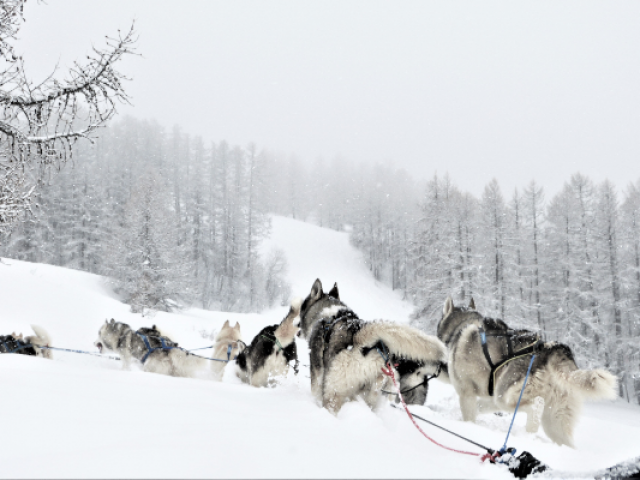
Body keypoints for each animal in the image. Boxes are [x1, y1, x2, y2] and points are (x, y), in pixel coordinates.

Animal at [438, 296, 616, 446]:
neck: (462, 327)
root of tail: (550, 349)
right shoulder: (489, 396)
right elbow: (481, 406)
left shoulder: (466, 392)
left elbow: (469, 416)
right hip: (553, 420)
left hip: (506, 395)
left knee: (535, 405)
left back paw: (529, 434)